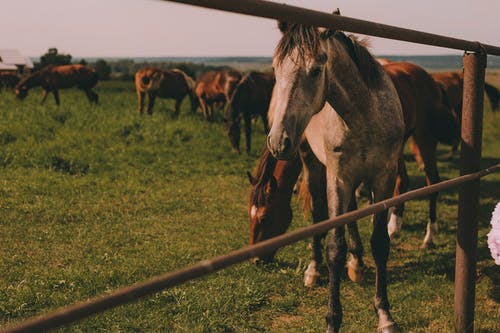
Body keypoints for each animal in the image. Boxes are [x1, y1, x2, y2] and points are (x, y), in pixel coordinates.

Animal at [268, 22, 404, 330]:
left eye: (316, 70)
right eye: (275, 68)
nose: (278, 141)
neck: (365, 117)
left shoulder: (384, 177)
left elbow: (380, 242)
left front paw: (385, 315)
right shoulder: (337, 177)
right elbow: (334, 248)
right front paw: (332, 320)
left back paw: (356, 264)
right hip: (313, 164)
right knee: (318, 213)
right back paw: (314, 269)